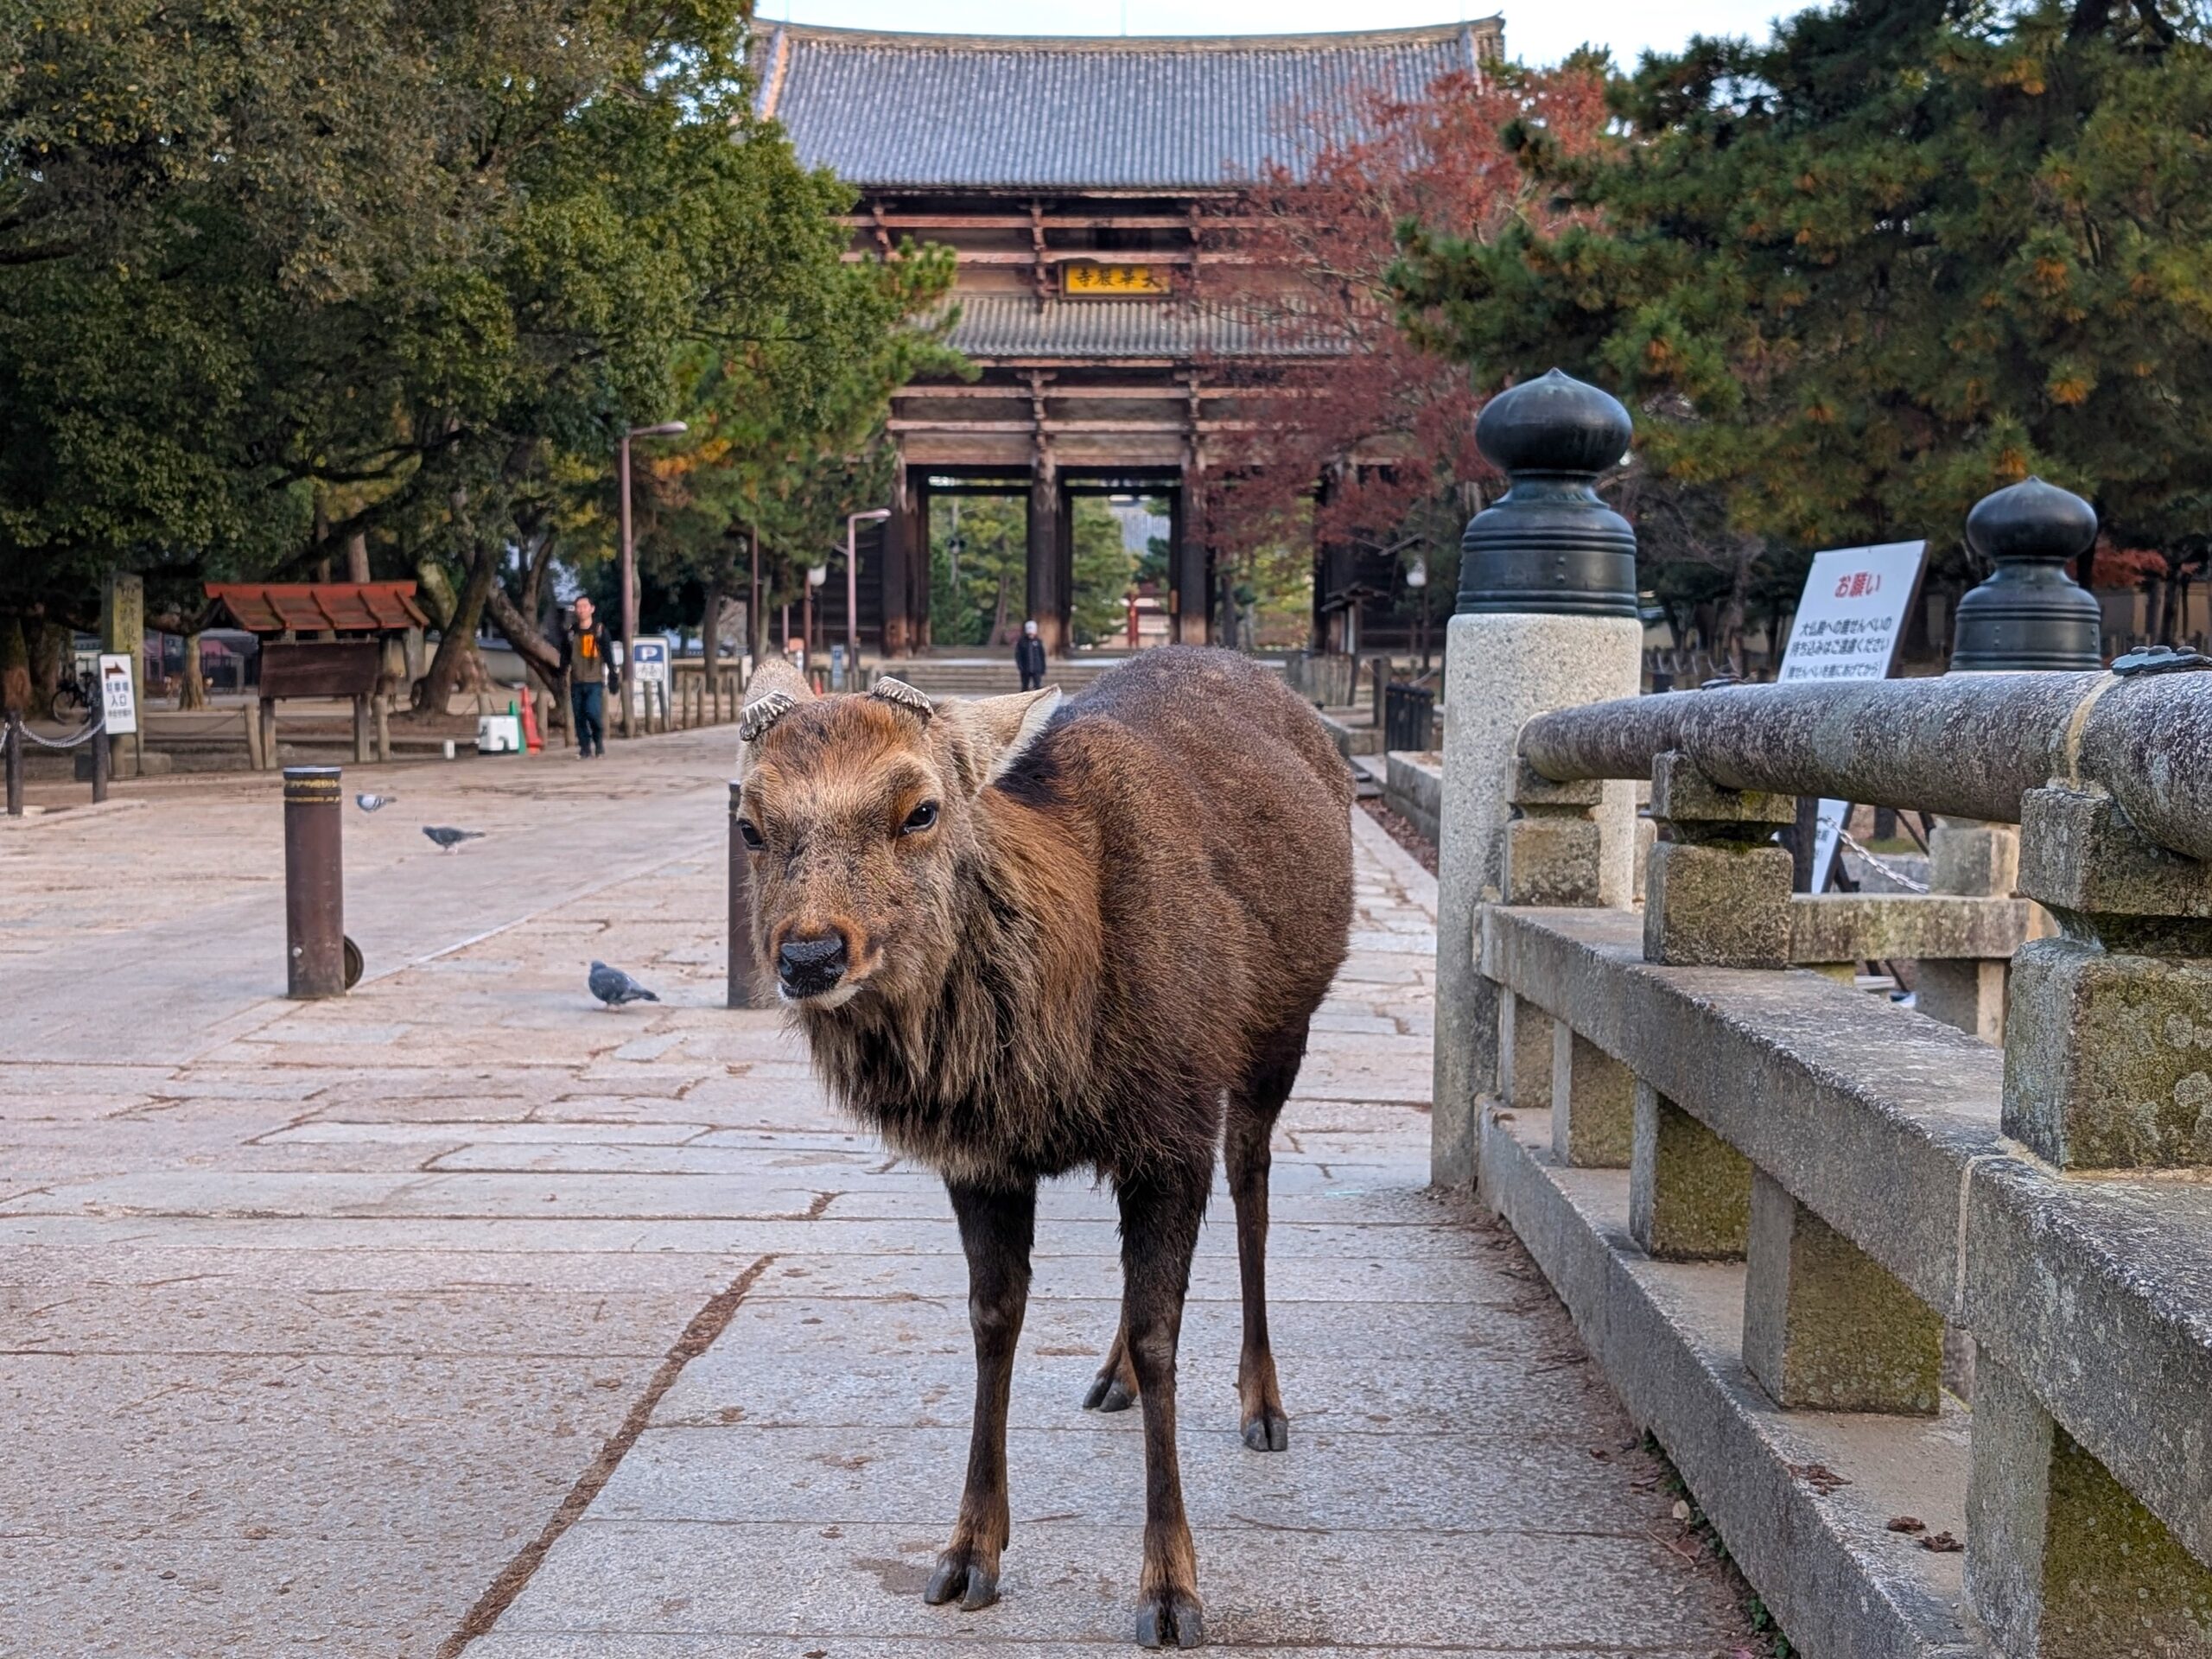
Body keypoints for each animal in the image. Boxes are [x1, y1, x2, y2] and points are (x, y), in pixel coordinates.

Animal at [733, 645, 1354, 1650]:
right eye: (749, 825)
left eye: (921, 809)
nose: (811, 956)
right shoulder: (982, 1159)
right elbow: (995, 1320)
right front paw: (966, 1552)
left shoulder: (1175, 1124)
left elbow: (1161, 1334)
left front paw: (1171, 1591)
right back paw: (1108, 1379)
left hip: (1275, 1037)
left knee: (1253, 1186)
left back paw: (1263, 1403)